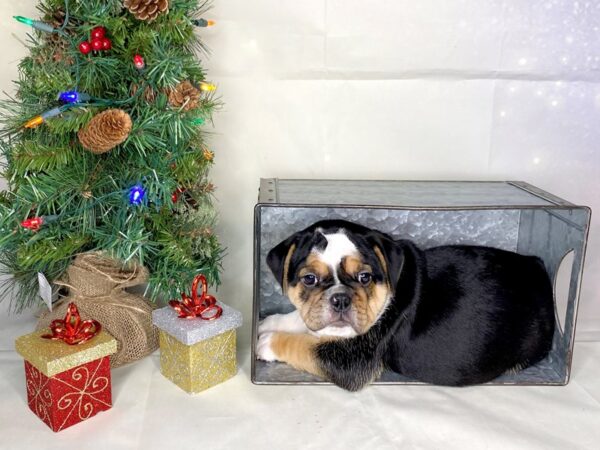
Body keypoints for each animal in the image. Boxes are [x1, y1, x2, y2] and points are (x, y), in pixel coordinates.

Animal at [255, 220, 556, 392]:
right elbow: (303, 318)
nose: (340, 298)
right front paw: (269, 322)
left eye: (365, 277)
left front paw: (268, 342)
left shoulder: (351, 361)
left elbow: (306, 345)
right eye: (309, 279)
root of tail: (538, 269)